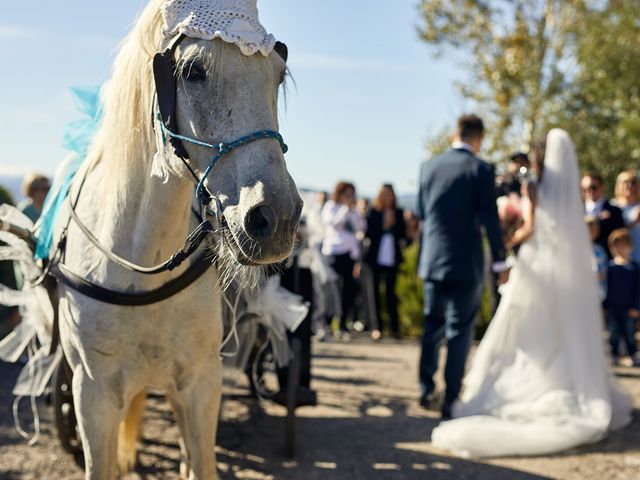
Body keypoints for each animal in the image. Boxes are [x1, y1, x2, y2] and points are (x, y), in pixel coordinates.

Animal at [34, 1, 302, 478]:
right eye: (193, 70)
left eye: (278, 72)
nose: (277, 217)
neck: (143, 269)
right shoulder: (92, 395)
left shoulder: (201, 385)